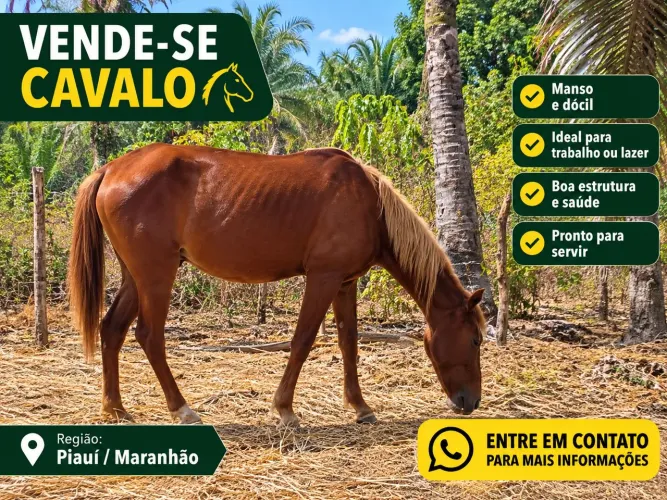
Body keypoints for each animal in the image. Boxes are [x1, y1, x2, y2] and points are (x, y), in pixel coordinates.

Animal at [68, 144, 486, 426]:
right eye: (475, 339)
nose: (470, 401)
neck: (369, 203)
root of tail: (111, 169)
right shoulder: (323, 277)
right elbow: (303, 340)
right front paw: (285, 409)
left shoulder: (345, 282)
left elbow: (349, 342)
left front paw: (360, 407)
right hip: (157, 275)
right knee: (150, 337)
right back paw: (182, 409)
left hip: (134, 277)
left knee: (112, 330)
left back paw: (115, 408)